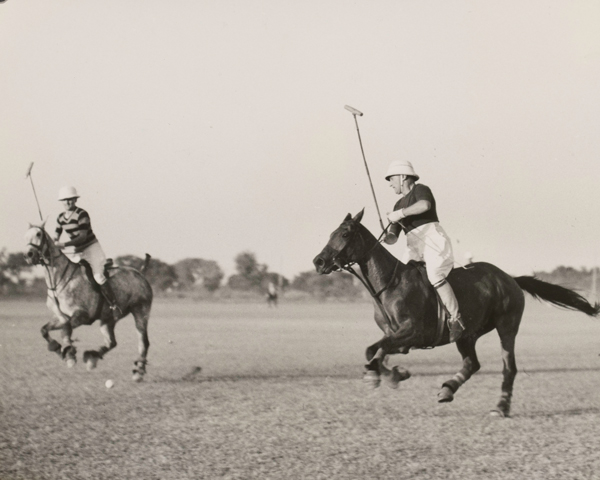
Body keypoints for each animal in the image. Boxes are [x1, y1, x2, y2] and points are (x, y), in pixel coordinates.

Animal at [24, 225, 154, 382]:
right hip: (108, 319)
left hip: (141, 310)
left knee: (143, 341)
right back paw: (92, 358)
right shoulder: (60, 318)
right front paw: (58, 349)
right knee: (111, 342)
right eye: (25, 235)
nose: (28, 255)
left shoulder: (82, 315)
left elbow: (65, 330)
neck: (58, 282)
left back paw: (138, 371)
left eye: (39, 234)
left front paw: (70, 355)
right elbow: (44, 330)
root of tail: (140, 273)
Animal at [314, 210, 600, 416]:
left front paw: (385, 376)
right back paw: (447, 390)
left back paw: (500, 407)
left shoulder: (413, 332)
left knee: (509, 368)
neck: (389, 285)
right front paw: (391, 374)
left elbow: (376, 350)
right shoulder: (398, 338)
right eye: (331, 233)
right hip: (466, 335)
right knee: (472, 363)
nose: (319, 261)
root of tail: (510, 278)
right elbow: (375, 351)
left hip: (507, 326)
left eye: (345, 234)